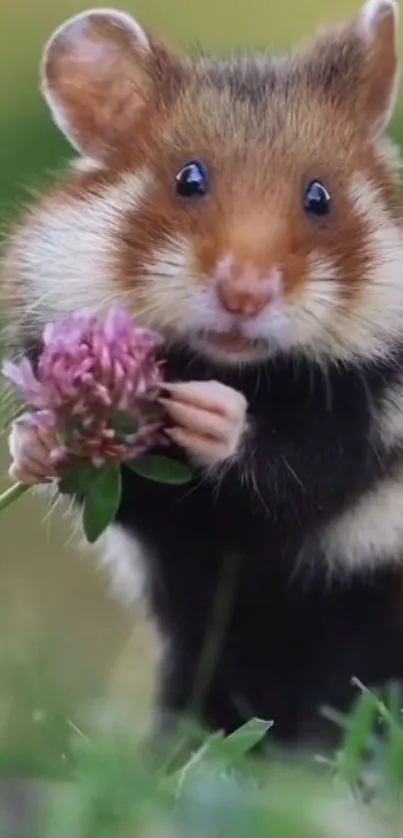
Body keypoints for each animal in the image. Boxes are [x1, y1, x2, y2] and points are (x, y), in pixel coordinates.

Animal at [3, 0, 403, 756]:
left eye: (319, 197)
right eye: (189, 180)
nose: (244, 296)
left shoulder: (366, 424)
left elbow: (302, 464)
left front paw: (206, 411)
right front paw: (37, 443)